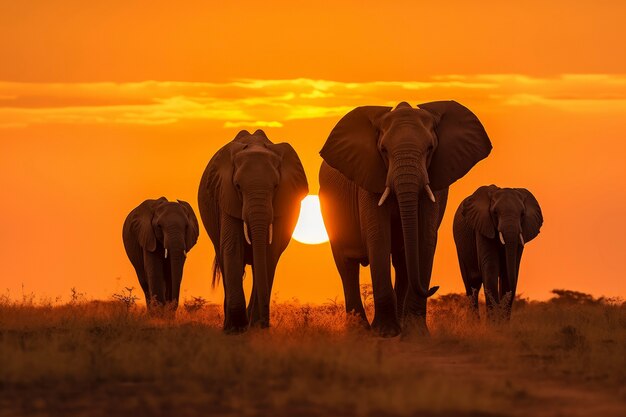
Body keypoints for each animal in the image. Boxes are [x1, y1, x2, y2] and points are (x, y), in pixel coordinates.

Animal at [197, 130, 308, 332]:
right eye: (238, 186)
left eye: (275, 186)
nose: (266, 323)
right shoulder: (226, 196)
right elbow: (232, 247)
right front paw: (236, 328)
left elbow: (269, 253)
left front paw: (253, 325)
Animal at [320, 102, 490, 336]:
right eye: (383, 150)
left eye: (430, 148)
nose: (434, 288)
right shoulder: (370, 177)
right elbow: (378, 236)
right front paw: (385, 333)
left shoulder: (436, 180)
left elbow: (425, 238)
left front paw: (415, 333)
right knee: (347, 265)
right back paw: (360, 331)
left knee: (401, 264)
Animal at [450, 184, 544, 318]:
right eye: (495, 212)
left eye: (522, 214)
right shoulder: (483, 226)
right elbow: (491, 266)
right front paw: (493, 322)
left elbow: (510, 269)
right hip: (460, 246)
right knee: (472, 284)